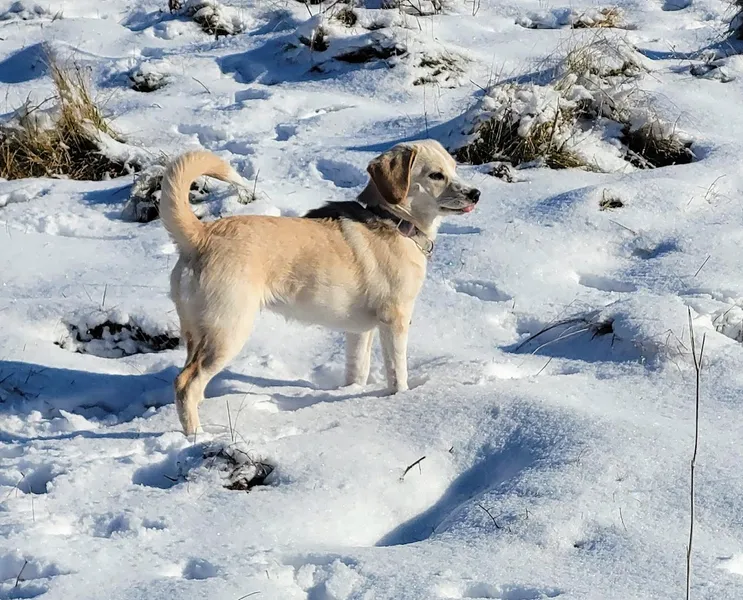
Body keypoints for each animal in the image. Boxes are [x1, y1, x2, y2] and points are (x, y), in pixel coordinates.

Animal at [160, 138, 480, 434]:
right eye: (436, 175)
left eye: (454, 168)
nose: (476, 193)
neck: (393, 220)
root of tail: (200, 235)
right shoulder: (395, 320)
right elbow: (397, 371)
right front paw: (401, 398)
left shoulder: (360, 332)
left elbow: (357, 371)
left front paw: (352, 393)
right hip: (227, 330)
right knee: (185, 383)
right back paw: (197, 437)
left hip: (196, 333)